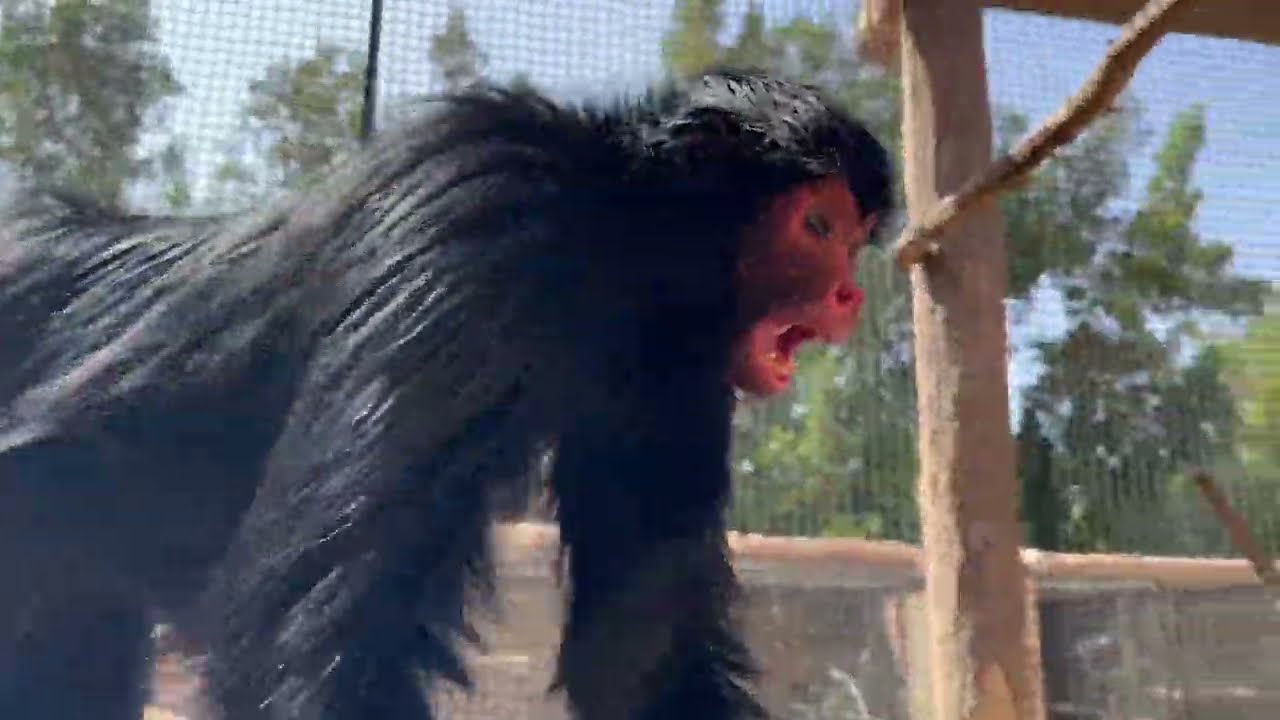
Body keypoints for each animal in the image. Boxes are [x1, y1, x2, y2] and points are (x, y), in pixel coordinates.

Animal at [0, 68, 893, 720]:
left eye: (851, 239)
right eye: (818, 228)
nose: (850, 293)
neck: (605, 228)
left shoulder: (665, 369)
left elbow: (633, 660)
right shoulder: (481, 214)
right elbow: (300, 635)